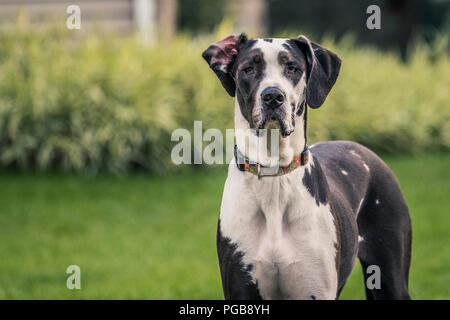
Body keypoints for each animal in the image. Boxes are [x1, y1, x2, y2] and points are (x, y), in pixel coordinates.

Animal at [201, 33, 412, 298]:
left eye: (292, 68)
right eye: (248, 69)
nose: (273, 96)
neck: (275, 176)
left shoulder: (316, 289)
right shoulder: (241, 290)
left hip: (391, 277)